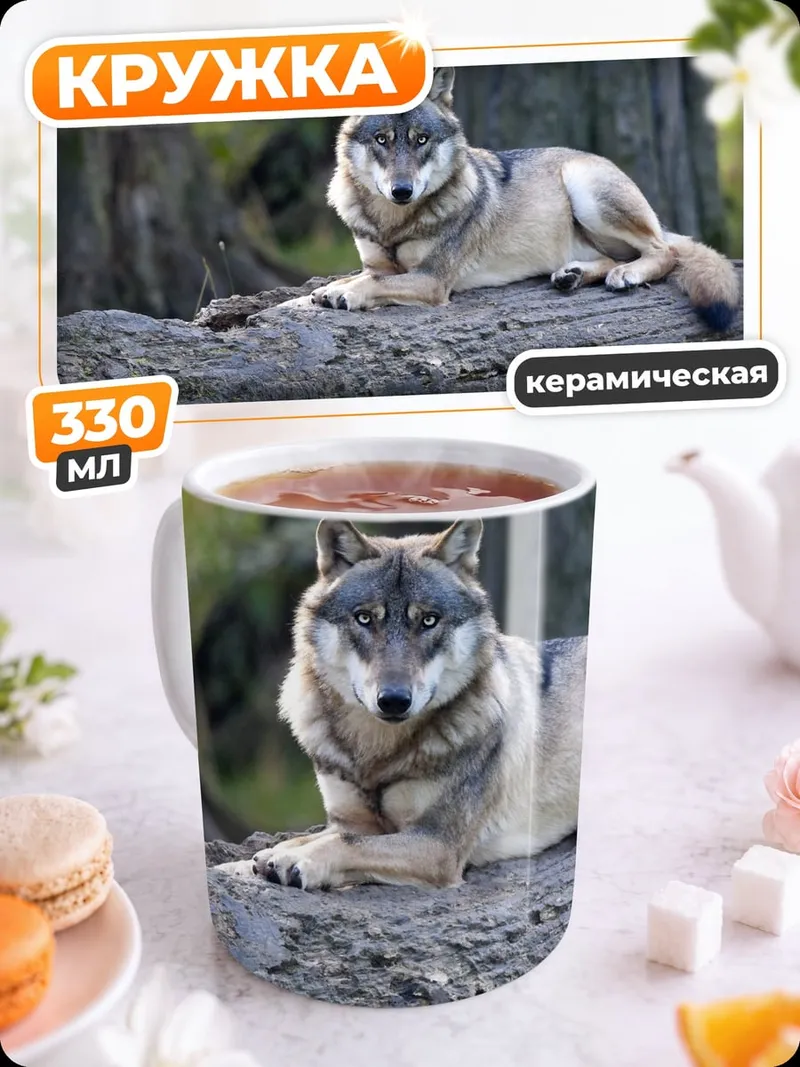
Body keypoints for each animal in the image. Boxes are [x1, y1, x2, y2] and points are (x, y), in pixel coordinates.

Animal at [249, 518, 586, 891]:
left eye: (428, 620)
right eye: (365, 618)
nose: (394, 700)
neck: (376, 752)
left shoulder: (437, 844)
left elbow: (344, 843)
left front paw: (294, 860)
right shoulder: (351, 821)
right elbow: (313, 837)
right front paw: (265, 856)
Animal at [309, 67, 739, 330]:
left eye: (421, 140)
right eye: (382, 140)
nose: (402, 191)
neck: (394, 222)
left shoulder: (432, 281)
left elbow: (373, 285)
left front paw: (347, 293)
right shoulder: (379, 264)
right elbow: (365, 274)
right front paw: (330, 289)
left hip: (586, 190)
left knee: (664, 252)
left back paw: (624, 274)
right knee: (615, 257)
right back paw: (572, 275)